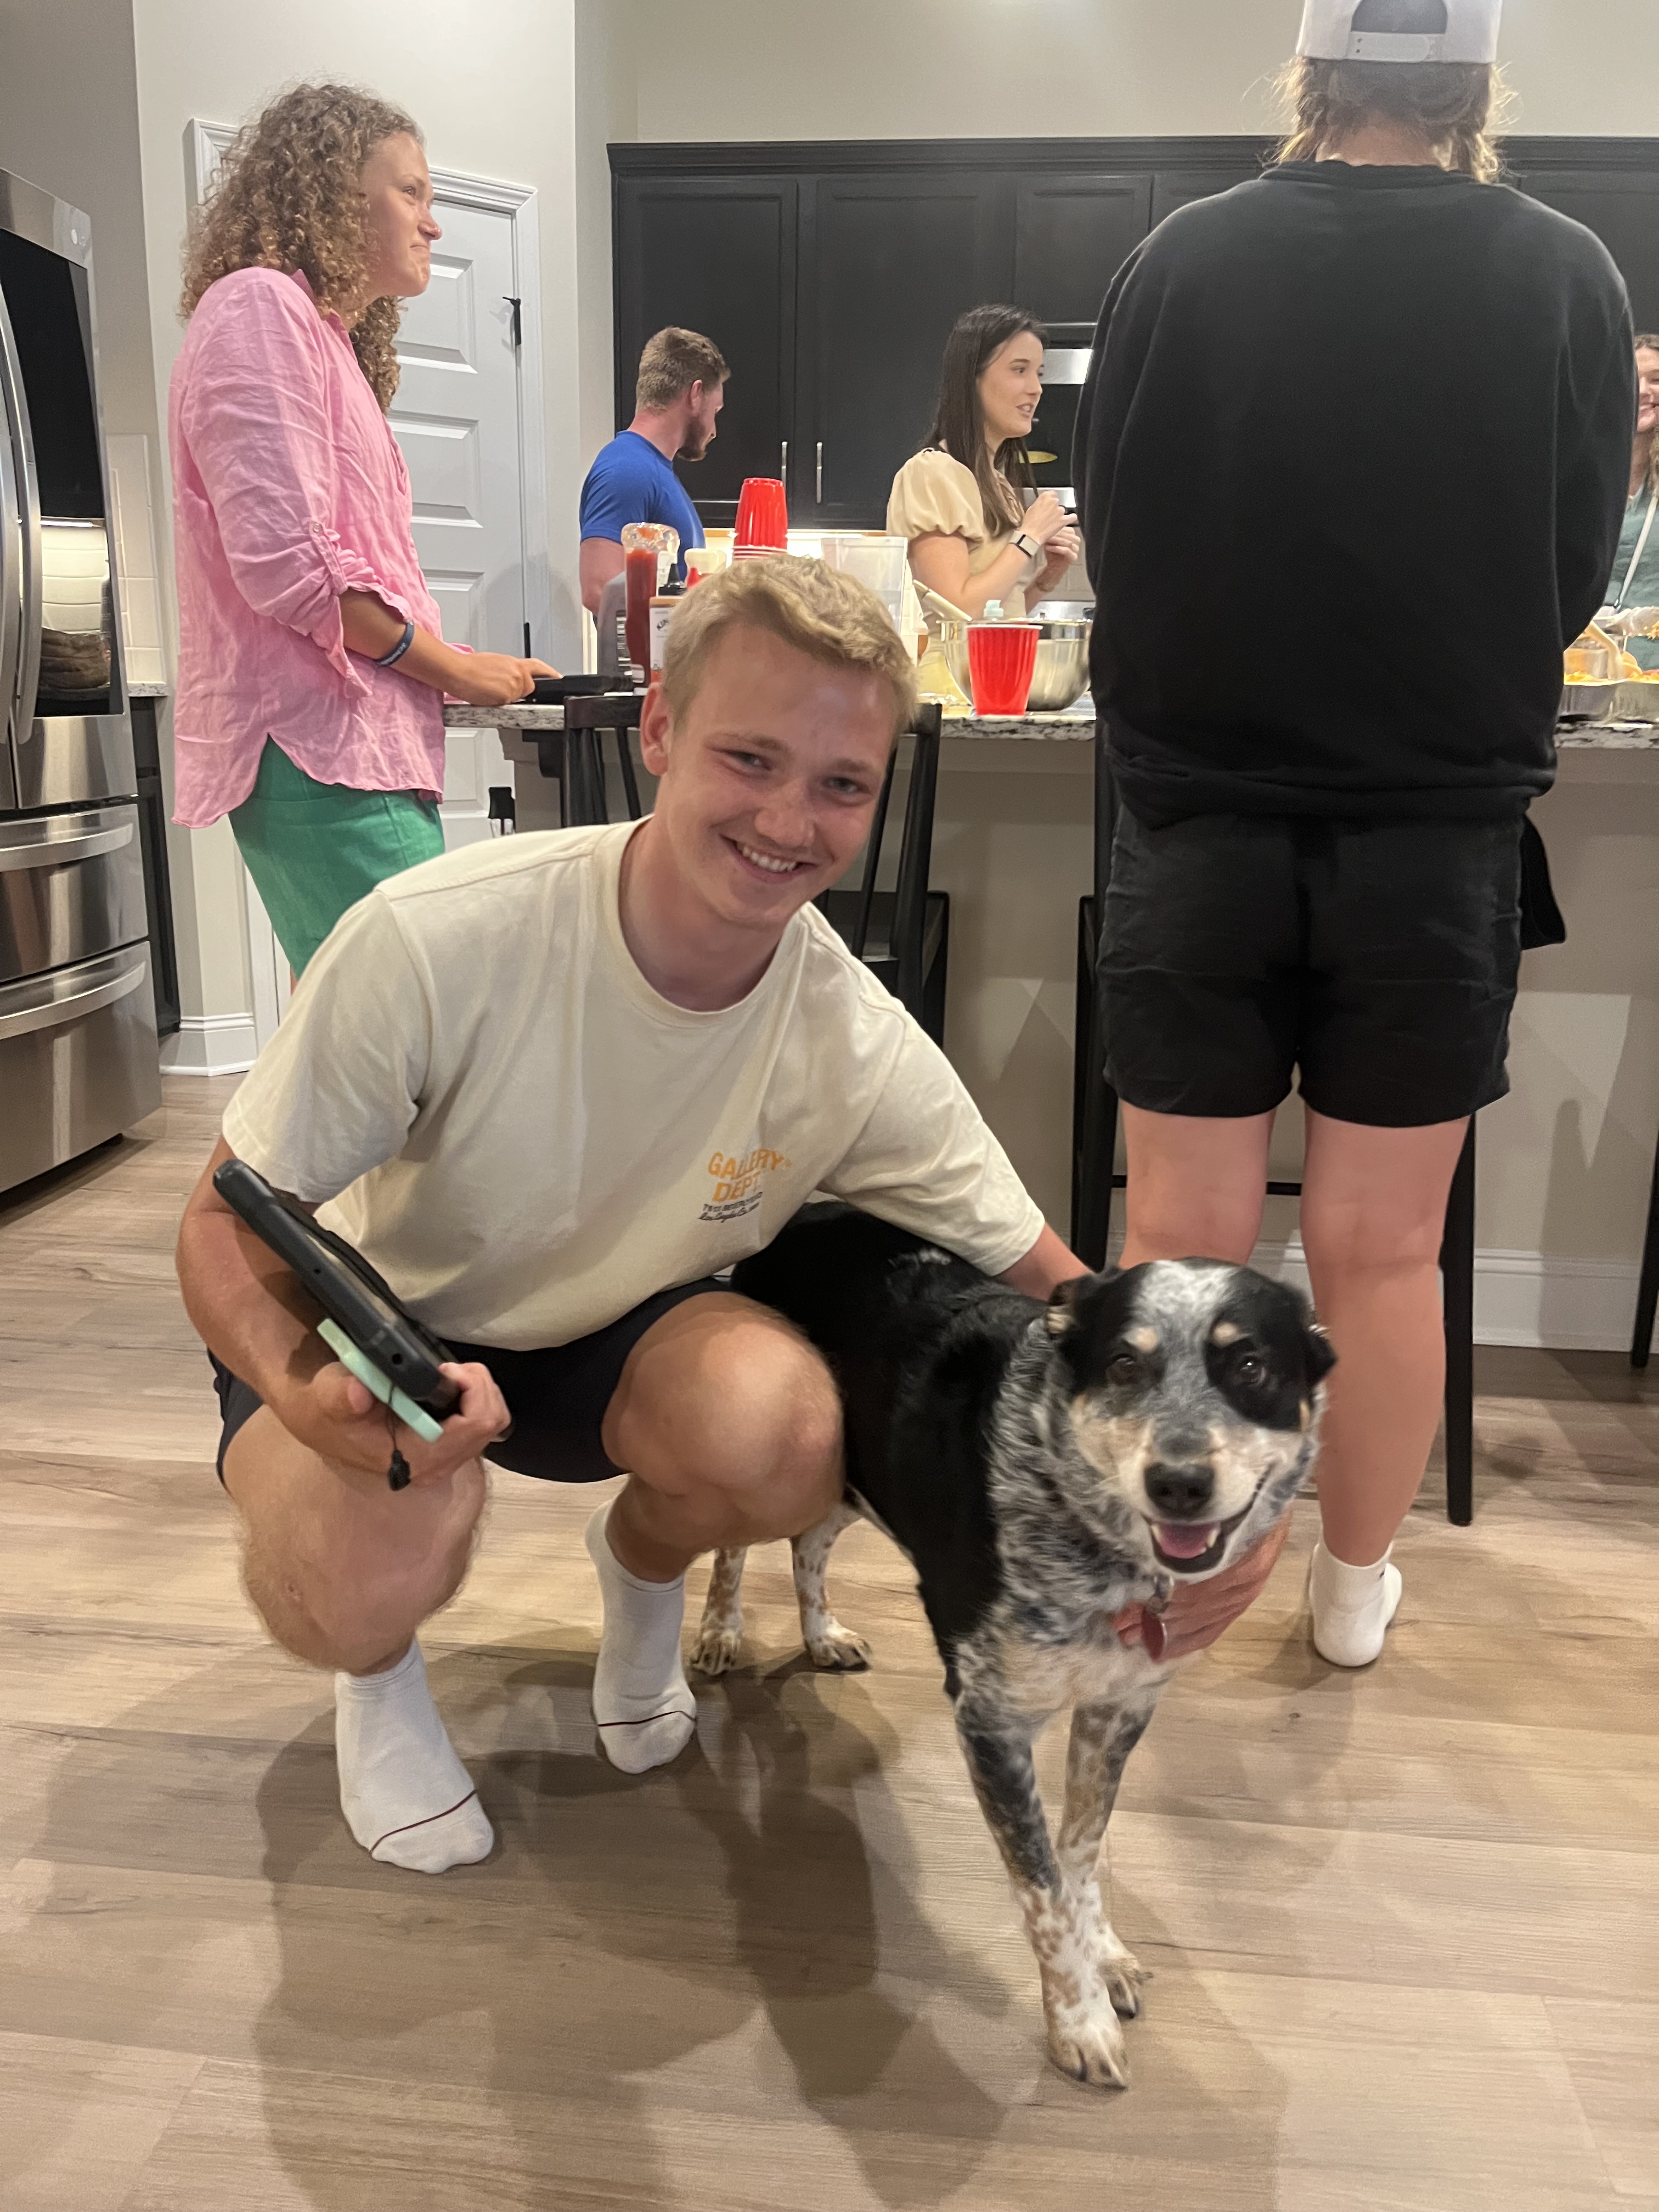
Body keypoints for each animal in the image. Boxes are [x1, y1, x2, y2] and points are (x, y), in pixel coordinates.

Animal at [690, 1205, 1333, 2088]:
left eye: (1250, 1365)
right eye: (1124, 1364)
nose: (1178, 1483)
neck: (1093, 1541)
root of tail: (809, 1212)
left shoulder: (1118, 1708)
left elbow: (1080, 1852)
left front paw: (1104, 1953)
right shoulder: (992, 1722)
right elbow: (1041, 1888)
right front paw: (1079, 2022)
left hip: (855, 1477)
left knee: (809, 1544)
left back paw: (822, 1635)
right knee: (739, 1544)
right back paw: (720, 1631)